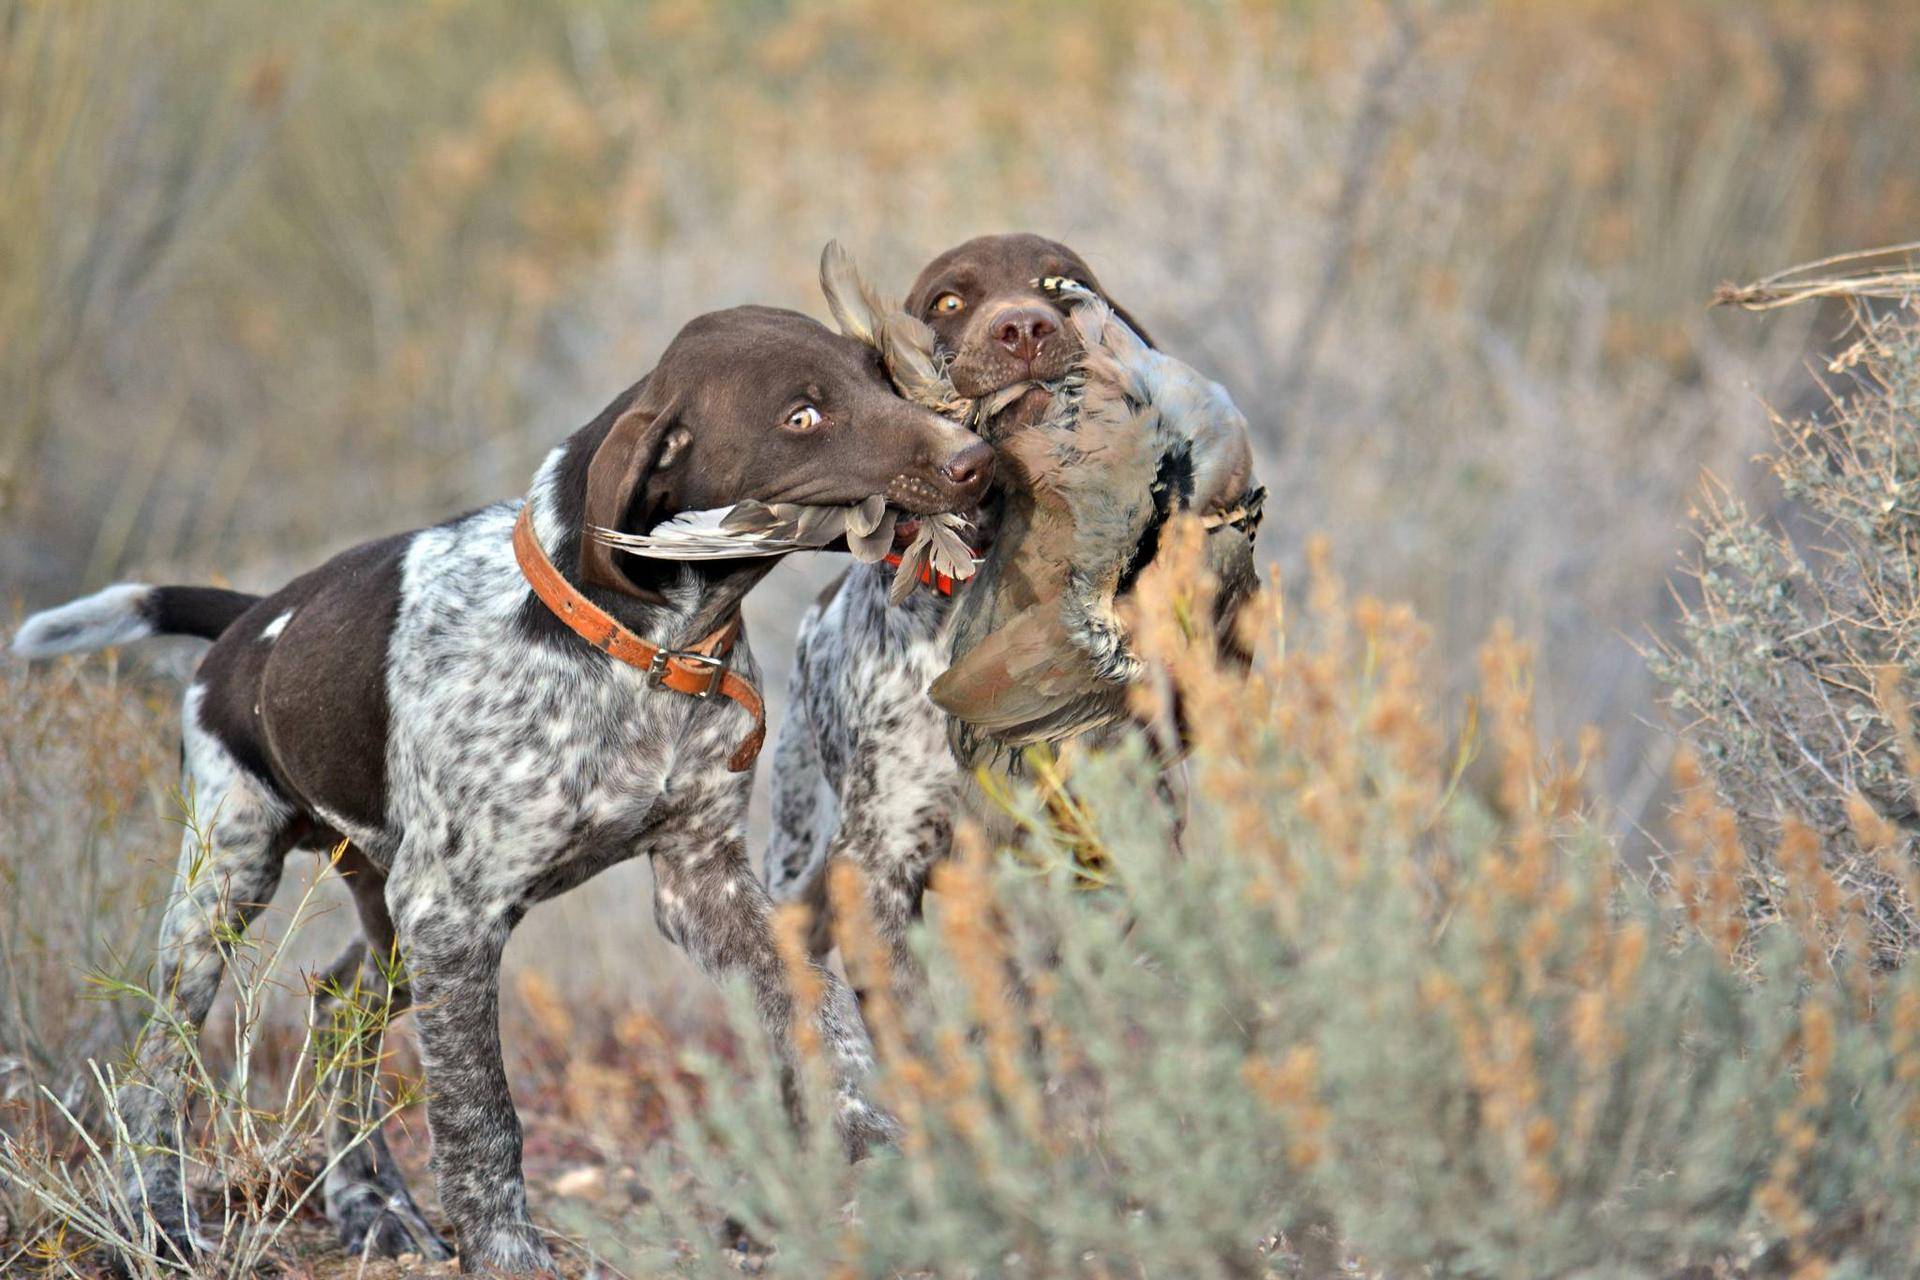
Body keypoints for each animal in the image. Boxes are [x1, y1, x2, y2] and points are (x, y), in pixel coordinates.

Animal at [15, 305, 998, 1274]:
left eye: (879, 373)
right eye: (802, 416)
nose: (977, 460)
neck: (641, 651)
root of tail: (248, 623)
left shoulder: (698, 881)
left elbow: (817, 1004)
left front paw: (867, 1120)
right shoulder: (454, 915)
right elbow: (481, 1115)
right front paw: (504, 1252)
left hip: (389, 914)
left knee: (336, 1005)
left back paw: (371, 1204)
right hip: (232, 879)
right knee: (159, 1061)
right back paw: (156, 1218)